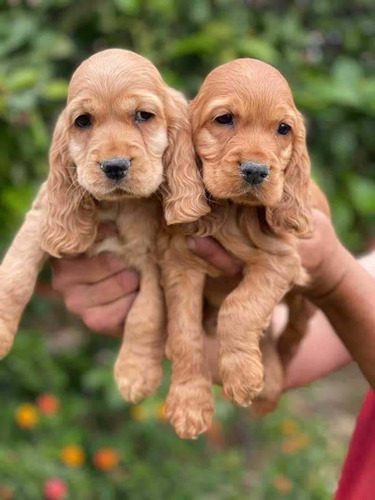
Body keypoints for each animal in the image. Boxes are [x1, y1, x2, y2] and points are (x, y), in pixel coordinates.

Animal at [0, 47, 204, 402]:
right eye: (83, 121)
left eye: (143, 115)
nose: (114, 166)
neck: (118, 205)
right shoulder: (42, 217)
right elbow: (15, 275)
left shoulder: (152, 257)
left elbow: (146, 313)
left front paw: (136, 370)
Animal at [160, 58, 330, 440]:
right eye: (224, 119)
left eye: (283, 129)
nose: (256, 170)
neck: (233, 211)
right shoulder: (182, 263)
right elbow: (185, 331)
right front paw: (189, 402)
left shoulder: (282, 261)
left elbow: (240, 308)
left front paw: (241, 375)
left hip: (303, 300)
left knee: (295, 329)